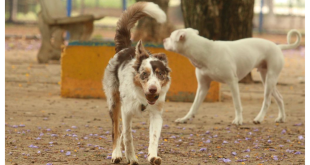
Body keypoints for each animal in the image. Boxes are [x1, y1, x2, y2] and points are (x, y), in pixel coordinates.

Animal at [102, 1, 170, 165]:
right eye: (144, 74)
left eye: (160, 74)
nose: (153, 89)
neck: (143, 98)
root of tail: (126, 48)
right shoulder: (126, 111)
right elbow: (127, 136)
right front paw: (131, 158)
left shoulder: (156, 114)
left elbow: (154, 137)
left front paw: (152, 156)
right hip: (114, 102)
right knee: (116, 131)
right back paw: (116, 153)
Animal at [163, 27, 302, 125]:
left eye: (170, 36)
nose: (164, 40)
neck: (206, 51)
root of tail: (278, 47)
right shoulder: (203, 86)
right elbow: (194, 105)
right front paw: (184, 119)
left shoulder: (232, 82)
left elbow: (237, 104)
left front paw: (238, 120)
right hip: (267, 79)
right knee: (280, 98)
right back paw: (281, 118)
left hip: (270, 80)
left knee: (267, 101)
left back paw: (259, 118)